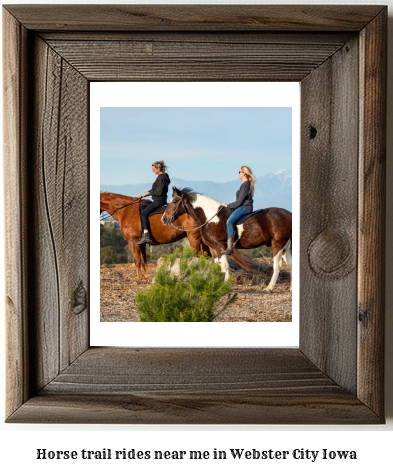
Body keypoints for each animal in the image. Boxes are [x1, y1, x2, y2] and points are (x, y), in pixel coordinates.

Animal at [160, 186, 290, 290]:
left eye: (175, 201)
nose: (164, 219)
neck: (211, 218)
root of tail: (289, 214)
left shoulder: (220, 246)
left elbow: (224, 266)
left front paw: (225, 284)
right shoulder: (215, 248)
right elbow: (217, 266)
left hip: (277, 245)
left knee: (277, 266)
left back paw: (269, 287)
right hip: (285, 246)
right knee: (290, 263)